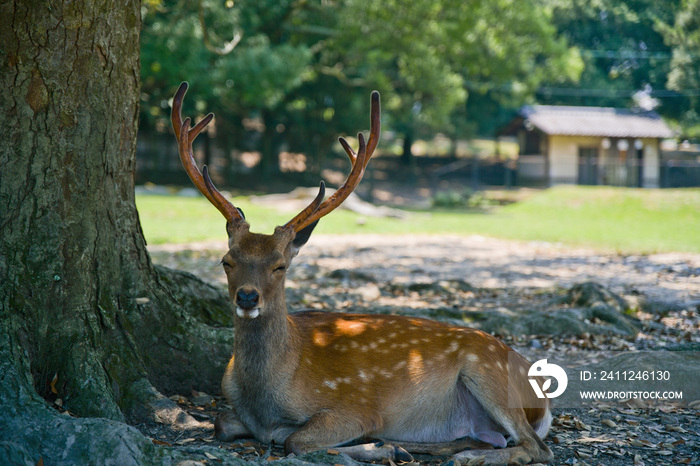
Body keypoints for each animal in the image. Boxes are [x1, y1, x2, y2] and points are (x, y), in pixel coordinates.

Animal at [168, 82, 552, 464]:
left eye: (280, 265)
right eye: (226, 261)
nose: (247, 297)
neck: (264, 401)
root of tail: (542, 397)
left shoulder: (355, 407)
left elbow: (296, 439)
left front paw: (375, 445)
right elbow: (221, 422)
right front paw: (385, 445)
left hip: (488, 371)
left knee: (537, 446)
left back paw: (453, 454)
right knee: (494, 439)